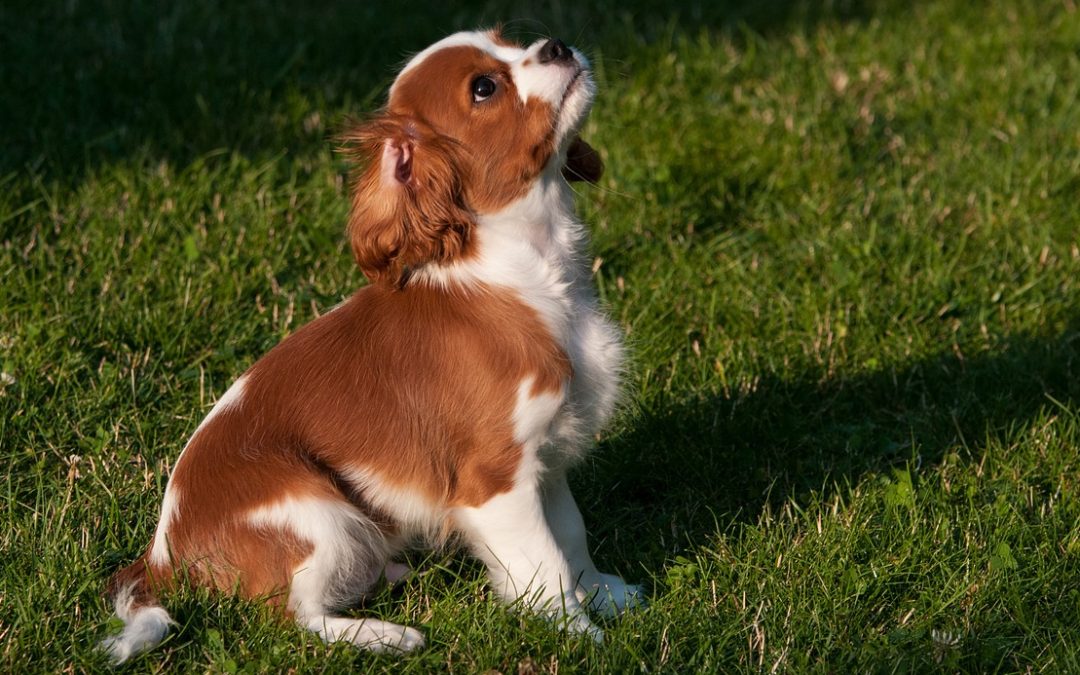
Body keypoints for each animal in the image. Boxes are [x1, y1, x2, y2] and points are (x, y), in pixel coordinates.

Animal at [99, 28, 639, 660]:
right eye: (485, 87)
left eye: (510, 39)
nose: (555, 44)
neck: (530, 268)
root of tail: (161, 558)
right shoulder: (497, 478)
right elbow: (545, 563)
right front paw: (581, 634)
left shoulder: (546, 458)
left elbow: (571, 535)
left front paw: (605, 594)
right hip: (322, 516)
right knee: (294, 618)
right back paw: (385, 635)